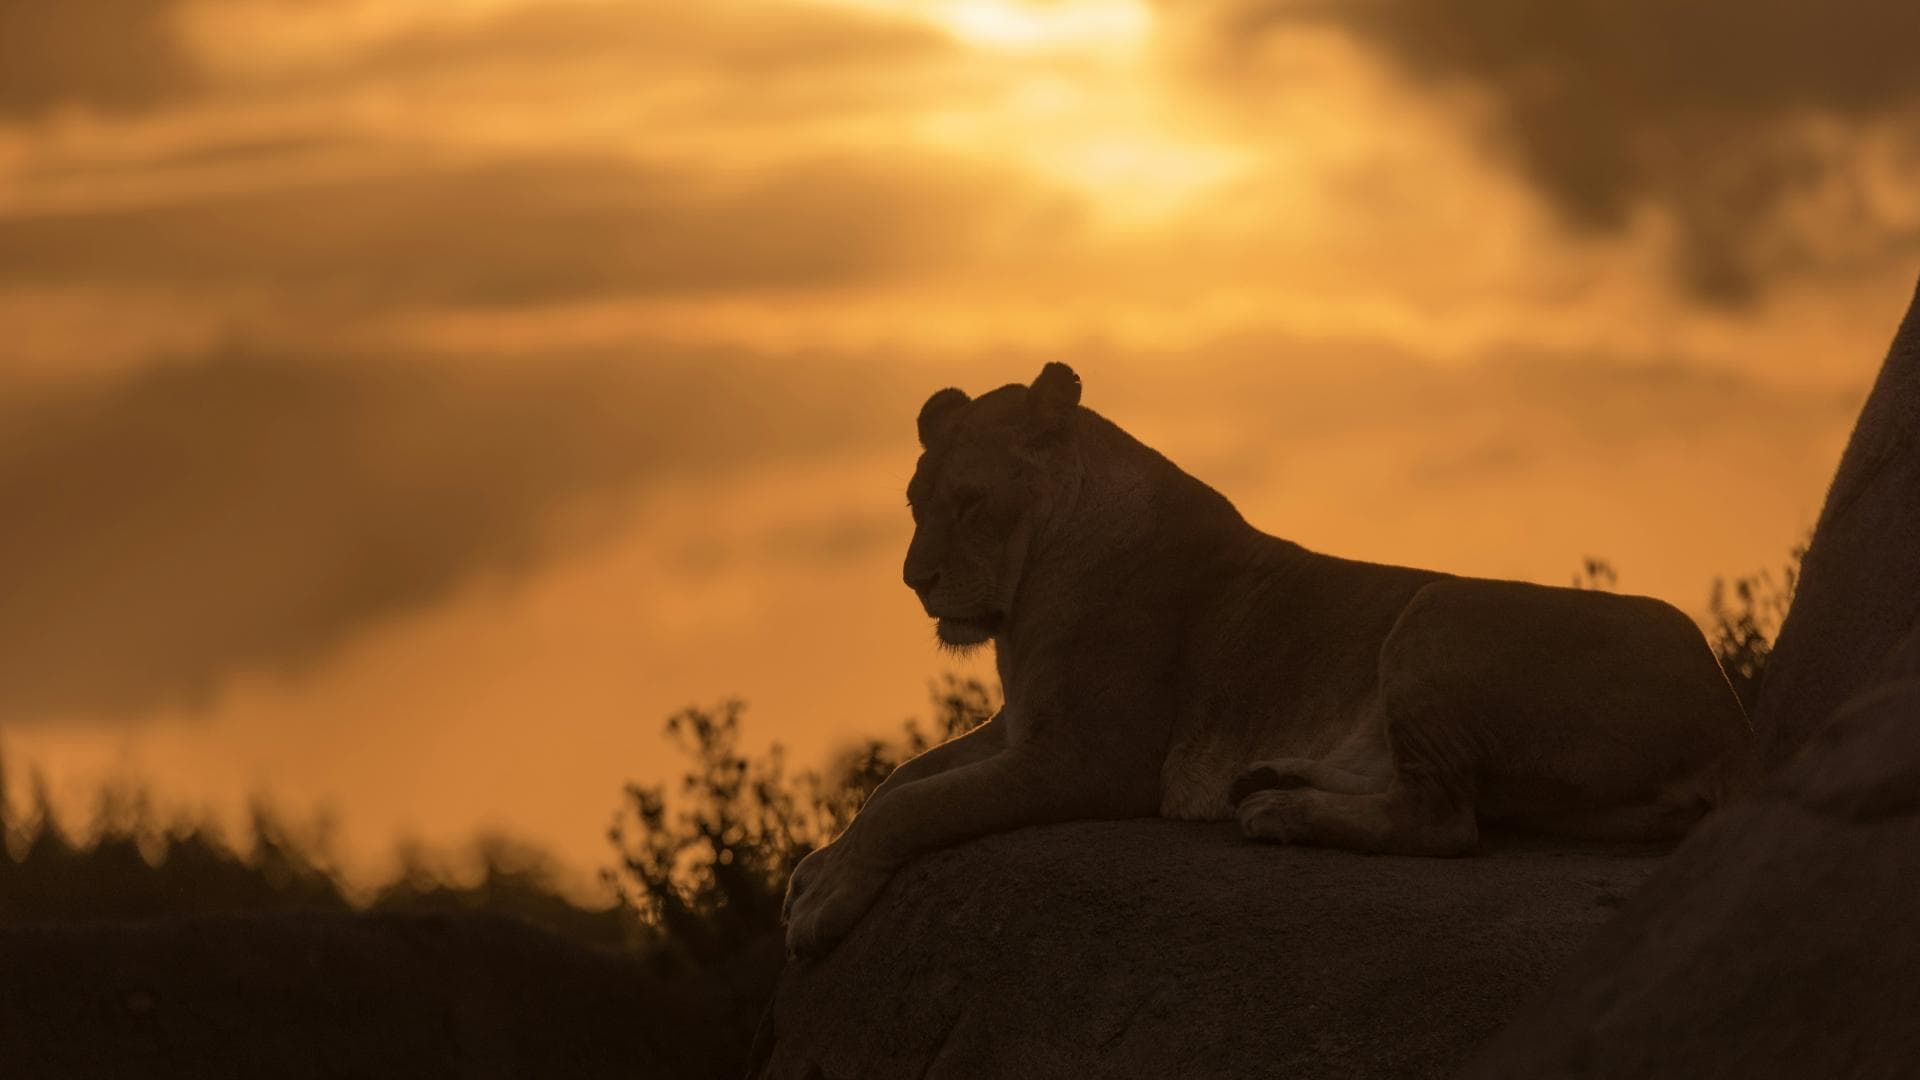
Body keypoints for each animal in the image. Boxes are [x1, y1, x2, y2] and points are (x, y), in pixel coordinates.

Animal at [783, 362, 1753, 957]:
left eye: (972, 501)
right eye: (915, 503)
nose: (915, 581)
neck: (1032, 583)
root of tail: (1730, 720)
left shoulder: (1085, 758)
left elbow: (915, 807)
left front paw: (822, 902)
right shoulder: (1016, 725)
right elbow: (898, 779)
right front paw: (818, 868)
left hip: (1437, 611)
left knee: (1445, 822)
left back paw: (1279, 814)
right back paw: (1269, 779)